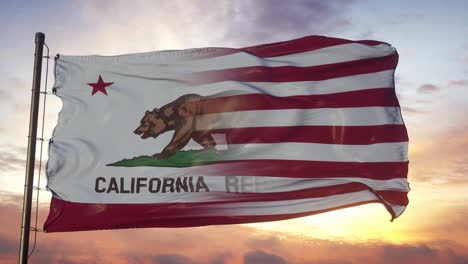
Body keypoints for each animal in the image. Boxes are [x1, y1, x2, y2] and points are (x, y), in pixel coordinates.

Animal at [44, 35, 410, 233]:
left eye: (145, 122)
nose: (135, 129)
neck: (172, 111)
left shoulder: (188, 120)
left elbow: (180, 138)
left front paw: (163, 153)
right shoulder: (201, 126)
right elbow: (204, 139)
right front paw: (211, 152)